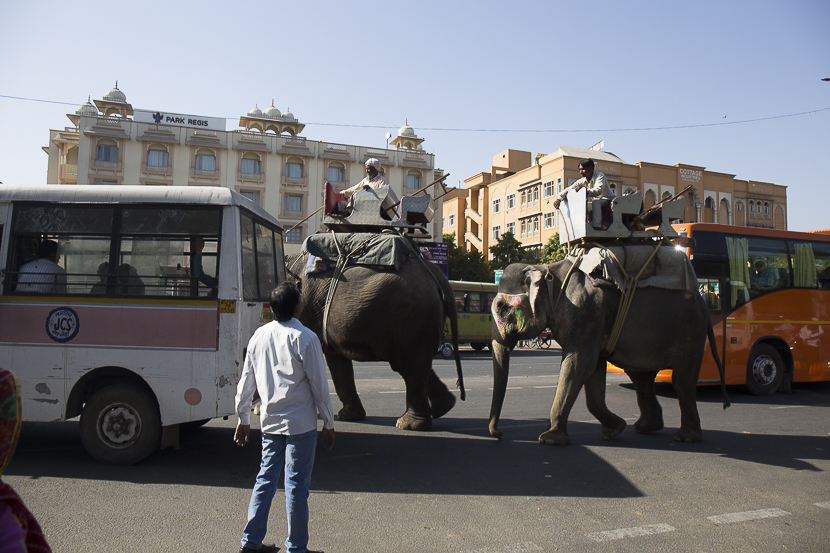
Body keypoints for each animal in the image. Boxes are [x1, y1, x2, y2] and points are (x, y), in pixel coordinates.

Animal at [288, 246, 468, 432]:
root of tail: (437, 276)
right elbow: (336, 357)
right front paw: (349, 417)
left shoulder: (307, 308)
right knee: (414, 364)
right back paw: (444, 407)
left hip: (413, 319)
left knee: (408, 365)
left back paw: (409, 424)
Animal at [488, 258, 728, 444]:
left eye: (502, 308)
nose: (499, 434)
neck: (547, 270)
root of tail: (703, 303)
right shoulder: (593, 324)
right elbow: (592, 371)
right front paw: (615, 429)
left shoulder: (587, 315)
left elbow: (577, 366)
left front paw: (549, 439)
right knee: (641, 377)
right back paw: (645, 427)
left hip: (690, 333)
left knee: (682, 380)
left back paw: (685, 437)